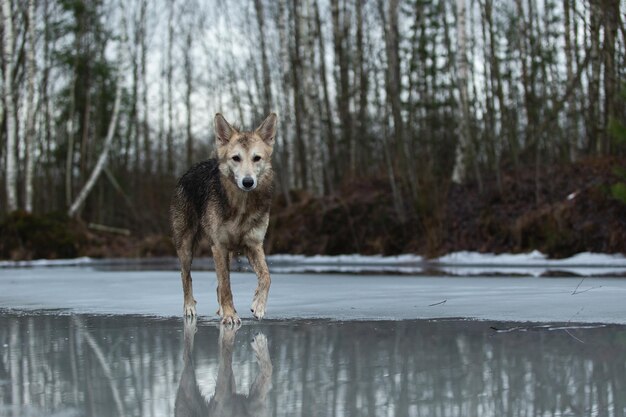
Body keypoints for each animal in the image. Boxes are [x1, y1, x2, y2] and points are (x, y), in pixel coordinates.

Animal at [171, 112, 278, 324]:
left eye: (257, 158)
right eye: (236, 158)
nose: (248, 182)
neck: (241, 205)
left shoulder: (253, 245)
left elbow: (266, 276)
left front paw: (258, 305)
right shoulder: (218, 246)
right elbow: (226, 285)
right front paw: (230, 315)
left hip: (226, 252)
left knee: (217, 285)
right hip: (186, 246)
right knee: (186, 277)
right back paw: (189, 308)